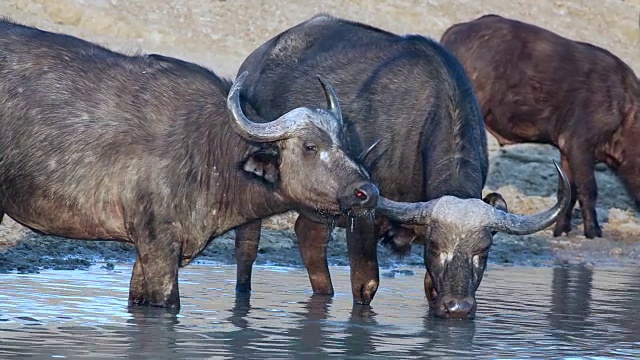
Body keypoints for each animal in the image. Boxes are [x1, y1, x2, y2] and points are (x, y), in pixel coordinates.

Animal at [1, 18, 380, 310]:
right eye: (310, 146)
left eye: (344, 143)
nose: (367, 192)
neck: (207, 150)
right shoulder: (158, 247)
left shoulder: (154, 253)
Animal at [231, 13, 568, 318]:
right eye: (435, 246)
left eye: (484, 250)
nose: (458, 307)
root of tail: (256, 60)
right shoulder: (364, 217)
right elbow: (366, 285)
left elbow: (431, 289)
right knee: (248, 246)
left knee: (309, 235)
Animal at [440, 14, 640, 239]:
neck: (624, 110)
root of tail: (455, 32)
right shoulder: (579, 147)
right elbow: (588, 190)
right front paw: (593, 231)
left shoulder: (566, 152)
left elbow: (567, 192)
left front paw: (561, 229)